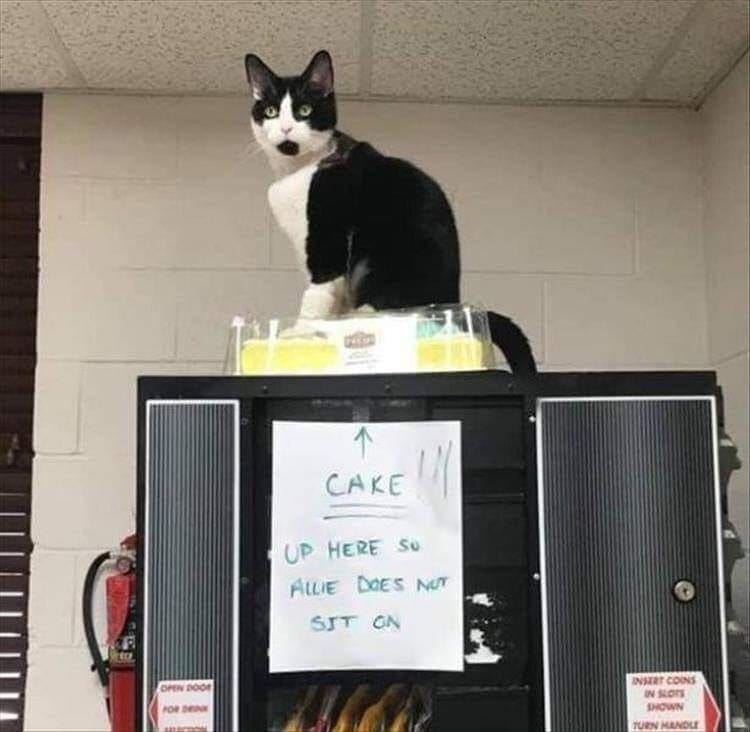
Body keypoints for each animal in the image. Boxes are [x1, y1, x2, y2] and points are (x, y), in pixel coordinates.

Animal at [244, 49, 536, 374]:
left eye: (304, 110)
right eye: (271, 111)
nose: (285, 128)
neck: (298, 169)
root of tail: (454, 300)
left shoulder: (327, 238)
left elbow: (316, 293)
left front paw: (299, 332)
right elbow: (331, 297)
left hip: (383, 259)